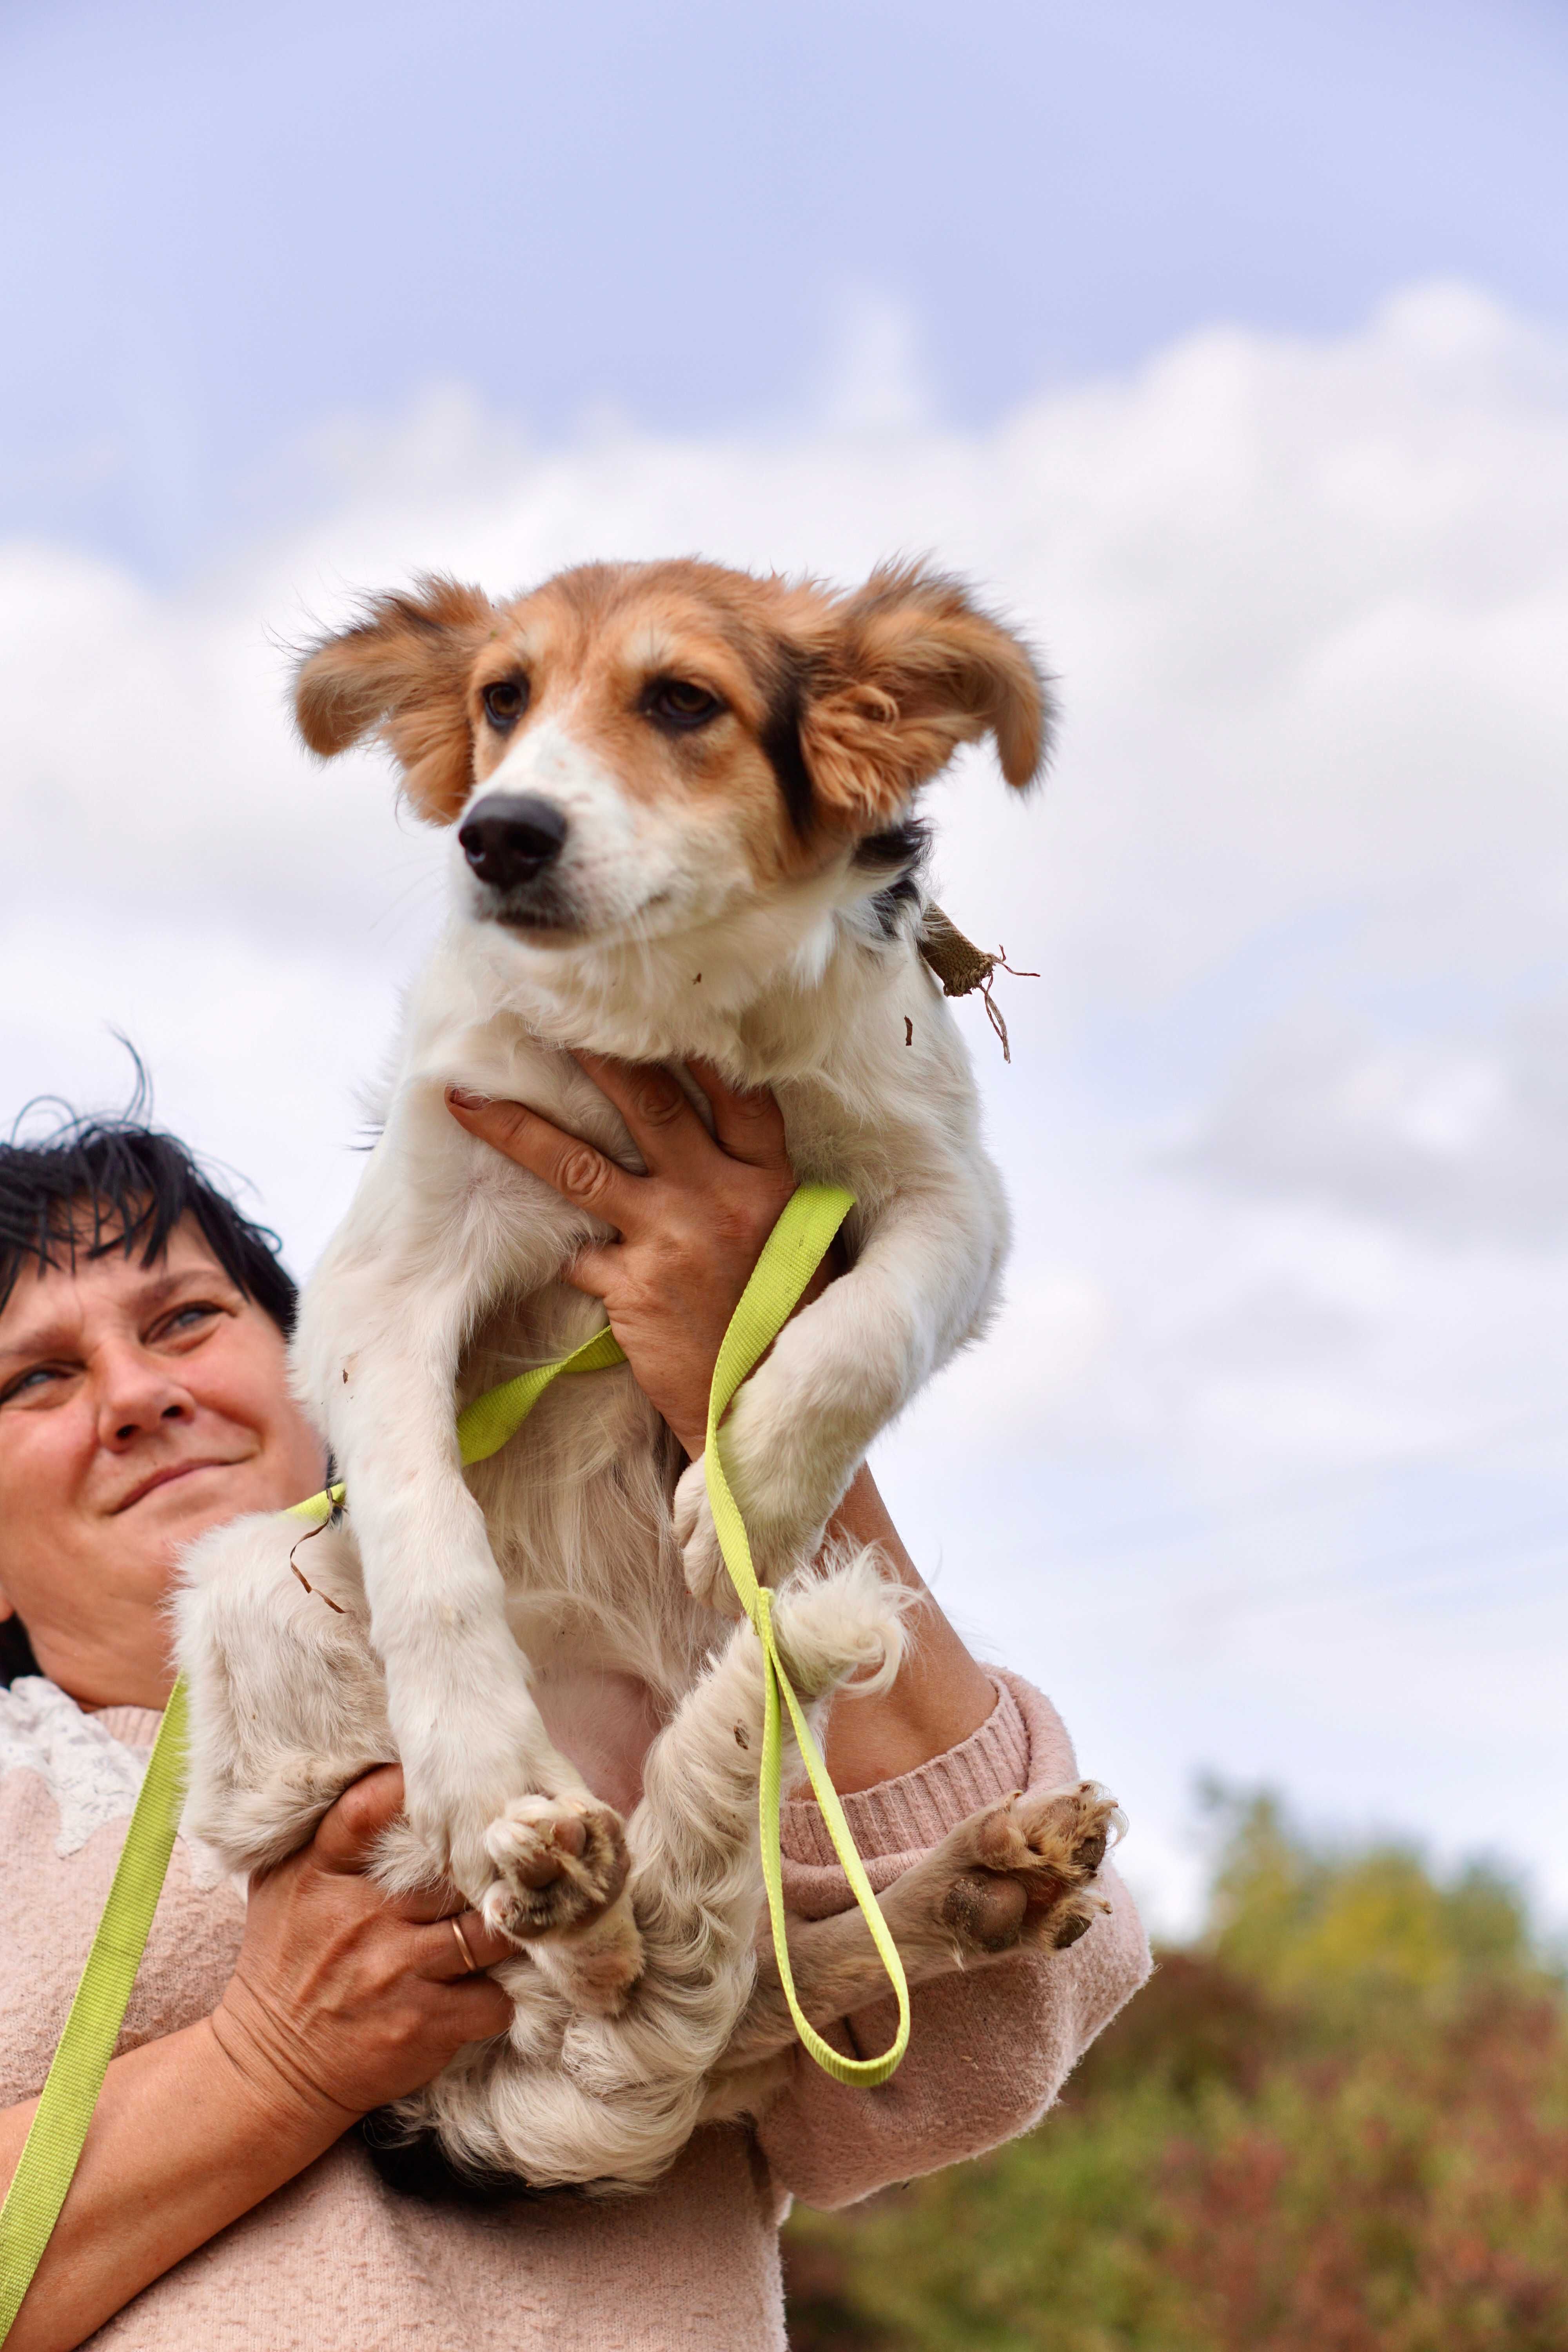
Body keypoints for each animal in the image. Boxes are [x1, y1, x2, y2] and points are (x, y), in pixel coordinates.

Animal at [177, 550, 1123, 2183]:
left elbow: (863, 1333)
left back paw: (967, 1882)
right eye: (502, 700)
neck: (664, 1003)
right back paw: (561, 1874)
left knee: (744, 1975)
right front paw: (483, 1762)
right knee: (600, 1951)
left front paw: (752, 1483)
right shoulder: (388, 1277)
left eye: (683, 701)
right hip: (252, 1585)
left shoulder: (946, 1190)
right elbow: (426, 1528)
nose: (499, 835)